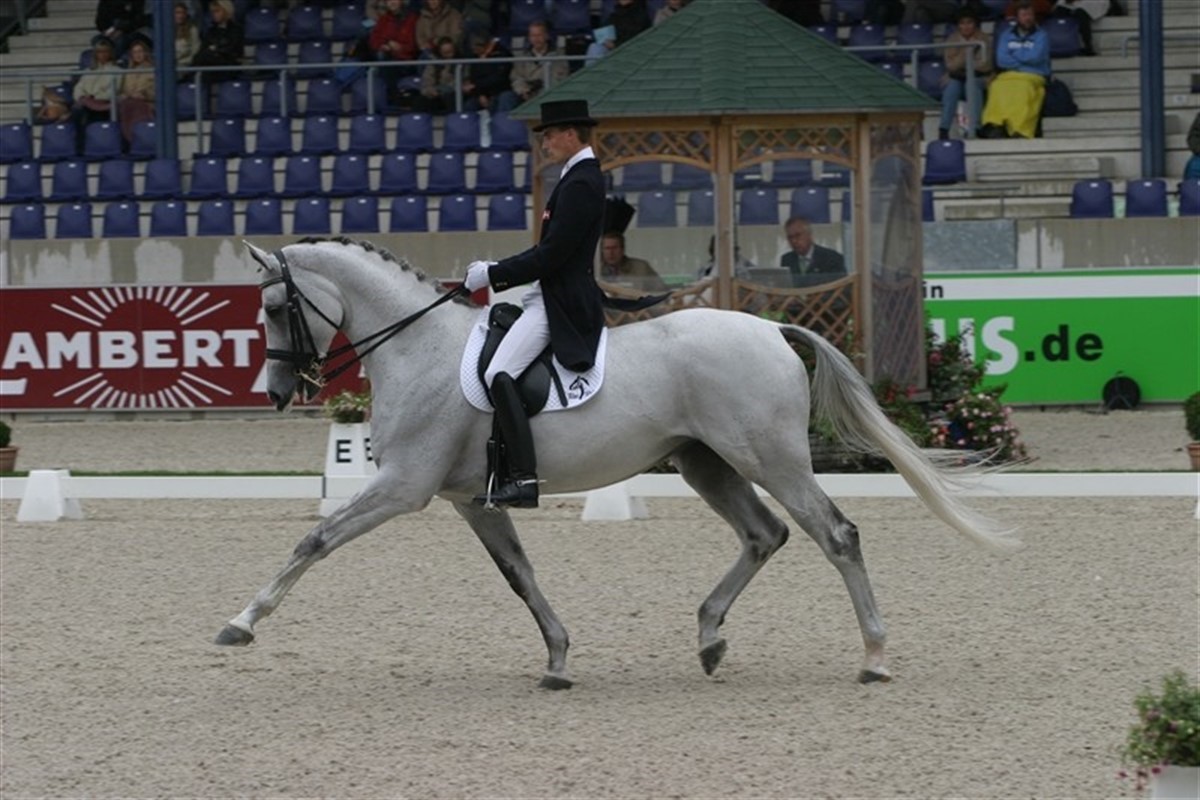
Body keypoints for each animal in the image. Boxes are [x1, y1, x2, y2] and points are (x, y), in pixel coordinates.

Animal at [215, 237, 1019, 688]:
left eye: (274, 309)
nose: (279, 391)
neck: (419, 350)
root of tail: (771, 327)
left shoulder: (402, 487)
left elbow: (314, 539)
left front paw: (242, 622)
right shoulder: (470, 499)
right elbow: (520, 576)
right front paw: (558, 661)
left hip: (770, 458)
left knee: (835, 535)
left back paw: (874, 658)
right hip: (707, 464)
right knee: (766, 535)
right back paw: (709, 638)